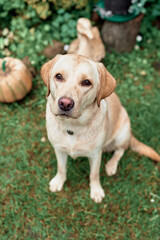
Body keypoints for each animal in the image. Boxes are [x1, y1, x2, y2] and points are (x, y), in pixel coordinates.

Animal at [41, 54, 160, 202]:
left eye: (86, 82)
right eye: (58, 76)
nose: (65, 104)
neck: (72, 127)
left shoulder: (96, 154)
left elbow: (94, 174)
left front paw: (96, 191)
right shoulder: (59, 149)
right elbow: (61, 168)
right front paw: (58, 181)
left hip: (122, 133)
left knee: (121, 150)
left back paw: (111, 165)